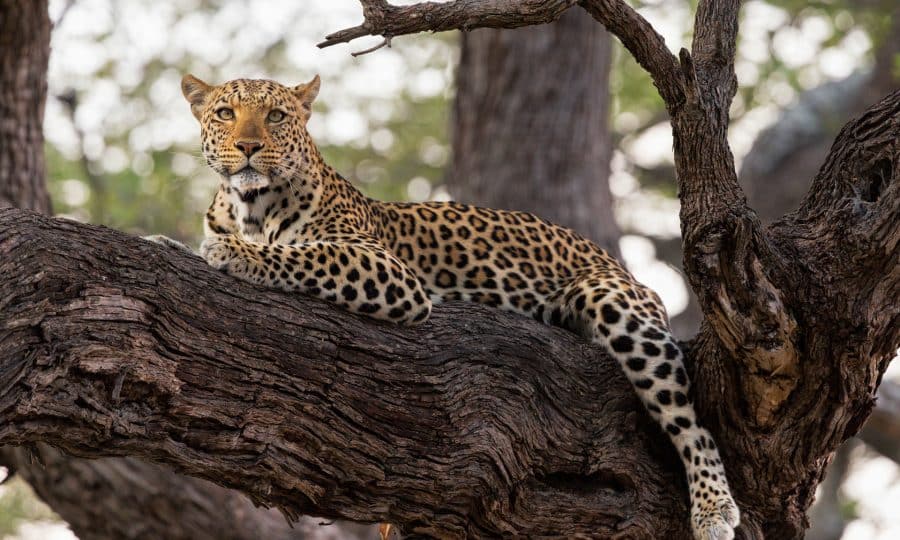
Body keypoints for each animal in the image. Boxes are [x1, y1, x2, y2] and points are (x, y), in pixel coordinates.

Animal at [160, 73, 740, 540]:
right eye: (225, 113)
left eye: (276, 116)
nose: (248, 145)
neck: (248, 207)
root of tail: (612, 260)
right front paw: (172, 243)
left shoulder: (386, 269)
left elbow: (302, 254)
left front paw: (231, 253)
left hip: (613, 302)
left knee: (687, 418)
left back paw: (714, 507)